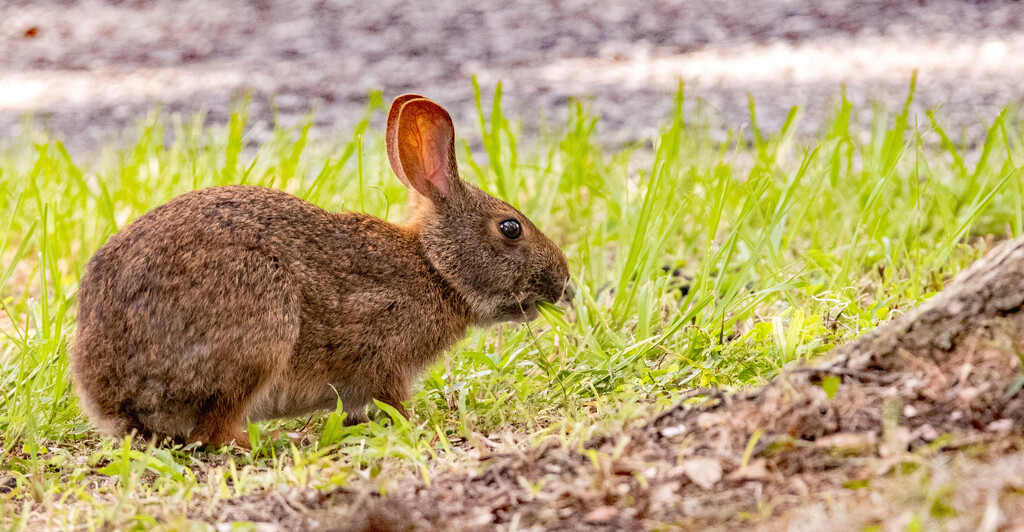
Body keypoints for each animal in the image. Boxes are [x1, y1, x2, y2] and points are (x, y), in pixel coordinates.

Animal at [72, 95, 569, 448]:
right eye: (510, 228)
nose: (565, 283)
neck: (435, 269)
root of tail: (113, 398)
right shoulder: (385, 354)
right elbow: (394, 401)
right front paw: (419, 427)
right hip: (260, 323)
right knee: (213, 433)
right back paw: (277, 440)